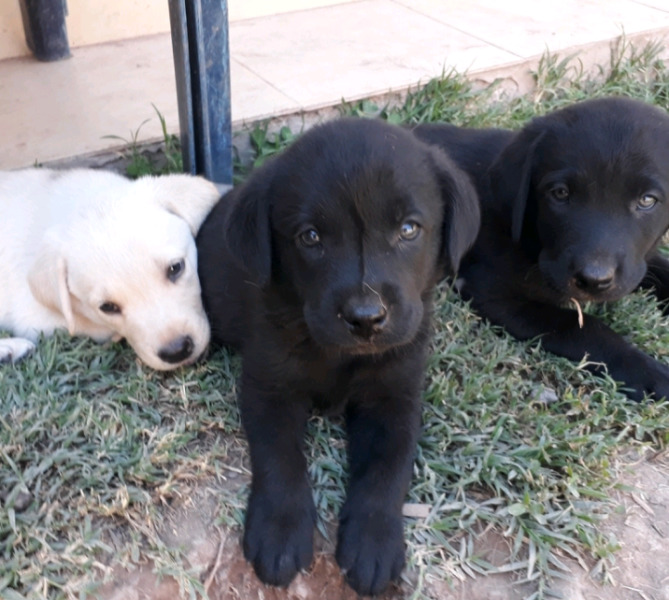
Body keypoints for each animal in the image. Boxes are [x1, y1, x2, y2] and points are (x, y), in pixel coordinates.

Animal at [196, 118, 478, 596]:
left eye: (408, 229)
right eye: (310, 237)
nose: (366, 318)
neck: (340, 357)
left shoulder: (396, 397)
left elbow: (389, 467)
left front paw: (373, 543)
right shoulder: (268, 386)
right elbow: (279, 456)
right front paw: (280, 531)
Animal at [414, 96, 669, 400]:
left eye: (647, 200)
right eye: (560, 193)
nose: (593, 280)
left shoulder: (638, 261)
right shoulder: (491, 291)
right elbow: (581, 326)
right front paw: (649, 372)